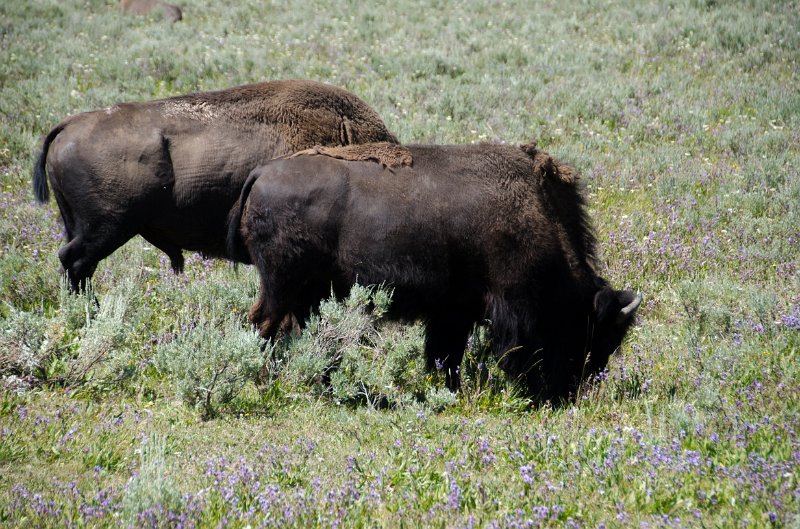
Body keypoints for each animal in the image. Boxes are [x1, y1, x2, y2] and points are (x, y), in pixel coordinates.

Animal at [228, 140, 640, 400]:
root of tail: (262, 173)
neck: (539, 214)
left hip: (307, 292)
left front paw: (448, 386)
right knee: (265, 324)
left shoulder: (454, 311)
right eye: (589, 332)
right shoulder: (502, 306)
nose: (571, 392)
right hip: (282, 285)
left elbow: (447, 353)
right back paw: (265, 382)